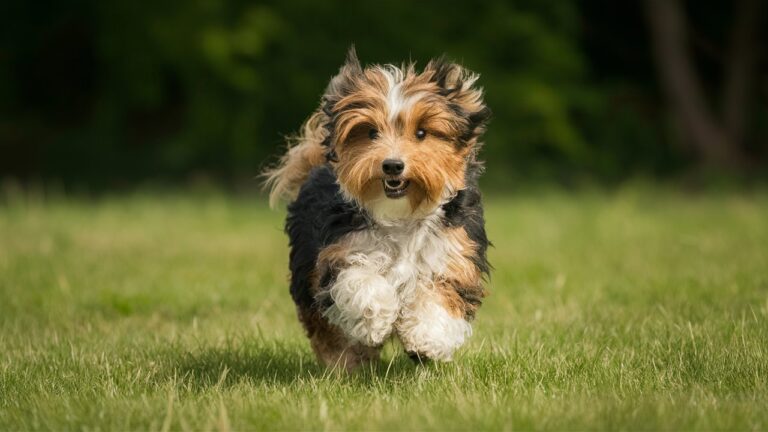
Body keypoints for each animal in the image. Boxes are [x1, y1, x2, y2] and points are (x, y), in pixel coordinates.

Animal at [266, 48, 492, 372]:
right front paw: (375, 320)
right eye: (371, 132)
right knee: (322, 324)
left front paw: (426, 338)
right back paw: (345, 361)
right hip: (305, 268)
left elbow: (440, 297)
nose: (392, 165)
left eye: (421, 133)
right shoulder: (339, 251)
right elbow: (360, 281)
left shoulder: (453, 254)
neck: (400, 216)